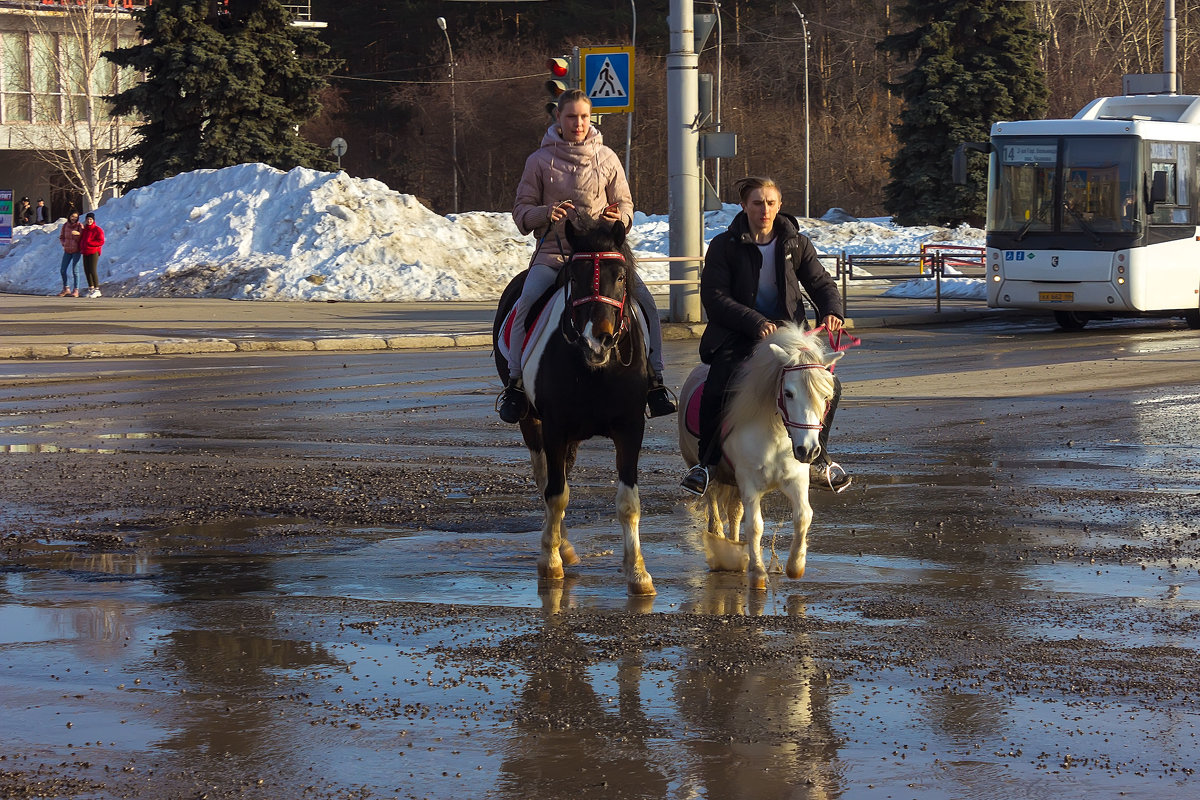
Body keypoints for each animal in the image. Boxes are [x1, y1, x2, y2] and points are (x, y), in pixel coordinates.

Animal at [686, 321, 844, 592]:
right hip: (711, 474)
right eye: (788, 393)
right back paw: (721, 549)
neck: (777, 434)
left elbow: (803, 516)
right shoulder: (749, 482)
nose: (809, 451)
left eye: (826, 396)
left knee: (734, 514)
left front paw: (795, 566)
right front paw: (758, 572)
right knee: (715, 512)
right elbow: (755, 525)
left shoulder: (796, 480)